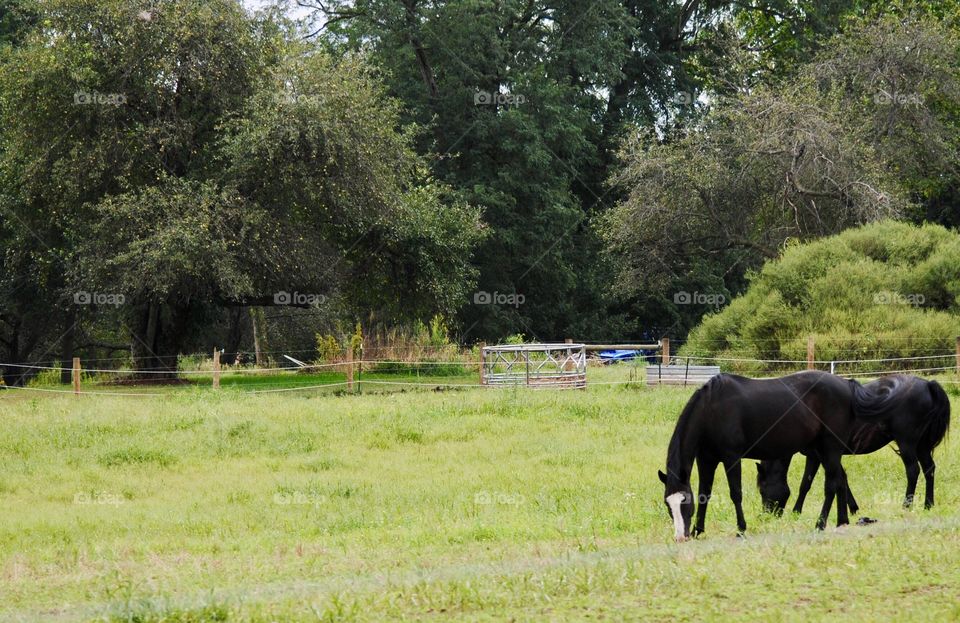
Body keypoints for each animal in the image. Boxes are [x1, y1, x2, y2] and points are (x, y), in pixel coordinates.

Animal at [659, 370, 891, 542]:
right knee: (839, 481)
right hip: (824, 450)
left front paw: (741, 529)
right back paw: (841, 521)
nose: (680, 537)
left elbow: (736, 493)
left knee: (832, 484)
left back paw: (820, 524)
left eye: (684, 502)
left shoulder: (731, 457)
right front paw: (698, 530)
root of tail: (847, 384)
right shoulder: (706, 459)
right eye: (668, 505)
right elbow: (704, 493)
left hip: (830, 448)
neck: (712, 408)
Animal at [756, 374, 950, 514]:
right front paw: (853, 509)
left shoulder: (817, 455)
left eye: (762, 490)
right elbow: (838, 479)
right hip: (922, 446)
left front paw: (796, 511)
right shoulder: (824, 456)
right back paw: (928, 505)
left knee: (913, 471)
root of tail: (928, 384)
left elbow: (808, 483)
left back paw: (906, 506)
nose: (768, 515)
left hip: (907, 444)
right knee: (929, 469)